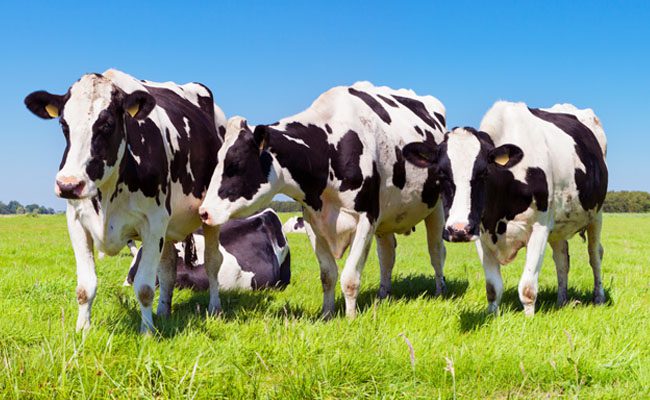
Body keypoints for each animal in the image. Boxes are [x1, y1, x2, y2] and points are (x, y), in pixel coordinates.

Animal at [24, 69, 227, 332]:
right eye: (63, 124)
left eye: (107, 124)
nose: (69, 185)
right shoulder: (77, 221)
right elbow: (85, 287)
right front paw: (82, 331)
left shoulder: (153, 222)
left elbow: (145, 288)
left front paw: (147, 332)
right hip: (167, 226)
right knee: (168, 268)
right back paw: (163, 312)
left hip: (210, 215)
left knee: (213, 262)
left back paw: (214, 309)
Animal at [198, 81, 448, 318]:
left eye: (235, 165)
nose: (204, 212)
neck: (330, 149)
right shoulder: (313, 220)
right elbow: (328, 275)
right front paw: (327, 314)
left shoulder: (366, 217)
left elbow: (350, 278)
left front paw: (350, 319)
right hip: (386, 217)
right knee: (387, 255)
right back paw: (383, 295)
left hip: (436, 208)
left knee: (436, 251)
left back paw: (440, 292)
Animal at [402, 101, 608, 316]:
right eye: (441, 173)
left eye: (484, 172)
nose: (458, 230)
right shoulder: (480, 231)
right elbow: (493, 287)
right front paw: (492, 315)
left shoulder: (540, 227)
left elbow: (527, 288)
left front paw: (529, 318)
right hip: (558, 227)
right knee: (562, 260)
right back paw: (561, 301)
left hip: (597, 215)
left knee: (595, 255)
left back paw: (599, 297)